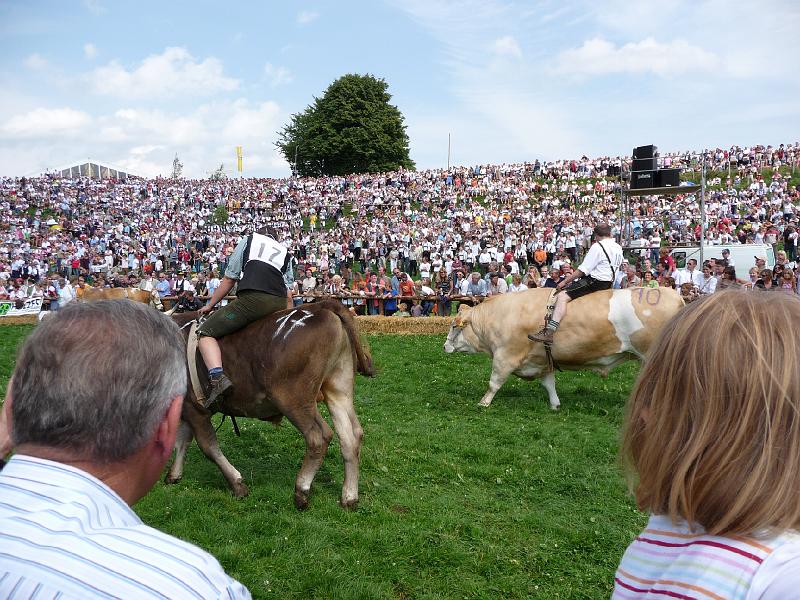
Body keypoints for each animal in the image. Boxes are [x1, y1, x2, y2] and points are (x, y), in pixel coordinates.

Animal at [165, 302, 376, 508]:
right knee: (351, 436)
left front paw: (237, 484)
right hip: (338, 389)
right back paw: (349, 497)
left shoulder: (196, 409)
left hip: (294, 400)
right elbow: (182, 440)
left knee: (318, 436)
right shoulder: (186, 409)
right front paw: (173, 475)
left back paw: (301, 491)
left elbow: (208, 447)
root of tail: (321, 306)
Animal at [444, 286, 680, 408]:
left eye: (454, 326)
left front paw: (483, 403)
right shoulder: (541, 360)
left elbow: (494, 382)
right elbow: (549, 384)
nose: (445, 346)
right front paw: (555, 405)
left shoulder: (505, 356)